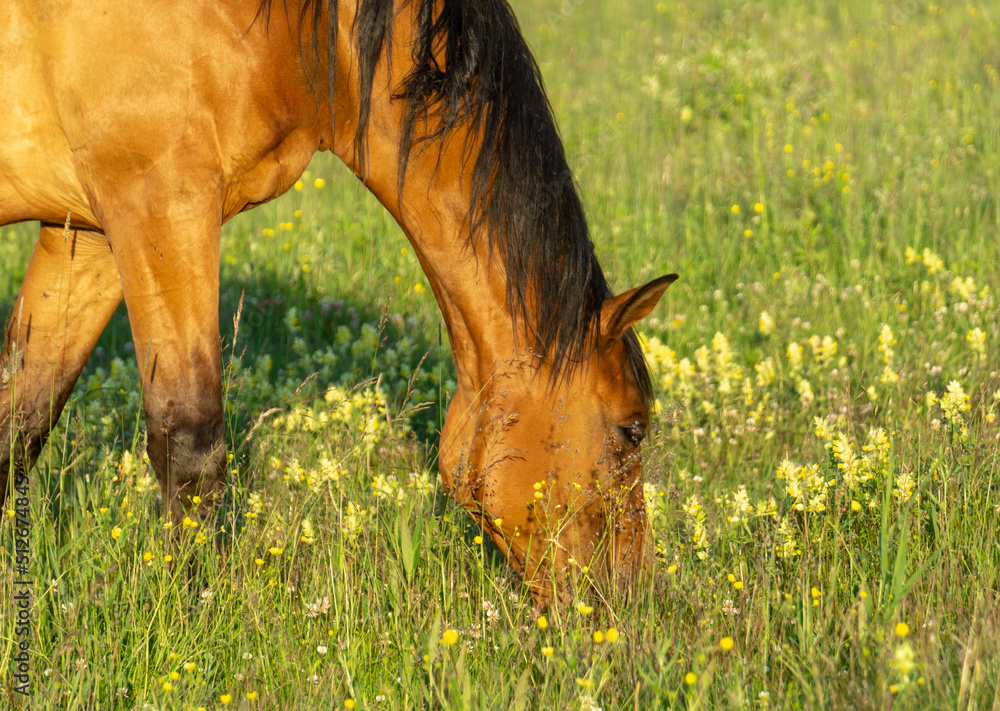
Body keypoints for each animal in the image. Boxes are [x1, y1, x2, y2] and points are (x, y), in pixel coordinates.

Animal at [0, 0, 675, 599]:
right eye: (632, 430)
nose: (633, 595)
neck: (294, 27)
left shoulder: (87, 232)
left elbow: (21, 422)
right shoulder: (159, 203)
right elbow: (190, 441)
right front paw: (196, 612)